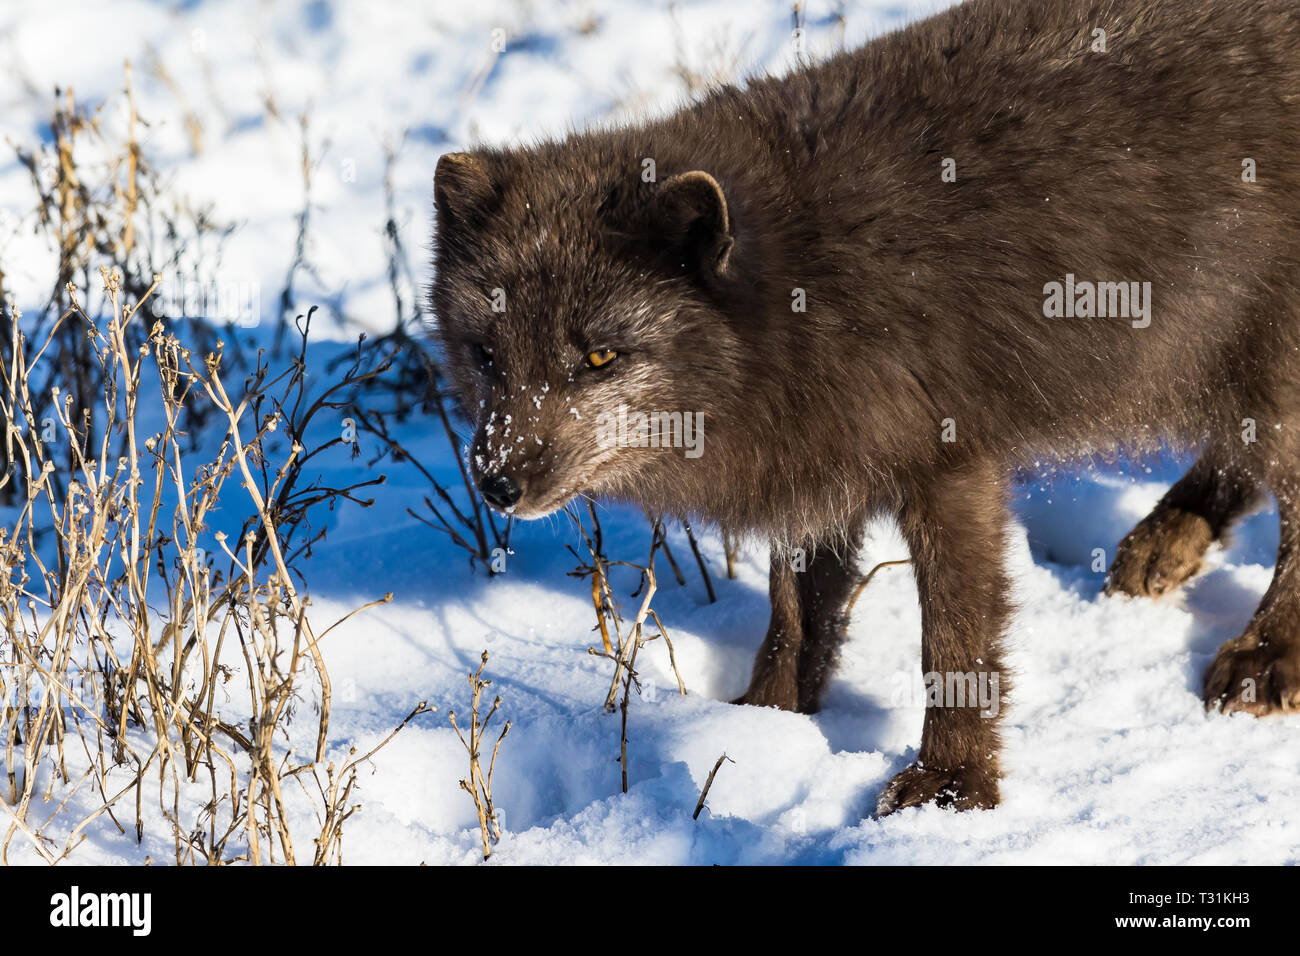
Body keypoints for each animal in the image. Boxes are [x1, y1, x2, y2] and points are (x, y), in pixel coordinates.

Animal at [434, 0, 1300, 816]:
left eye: (599, 357)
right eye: (487, 355)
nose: (497, 481)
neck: (796, 293)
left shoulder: (949, 463)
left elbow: (952, 642)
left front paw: (951, 789)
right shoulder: (815, 466)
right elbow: (796, 613)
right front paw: (767, 722)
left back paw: (1265, 654)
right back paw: (1167, 542)